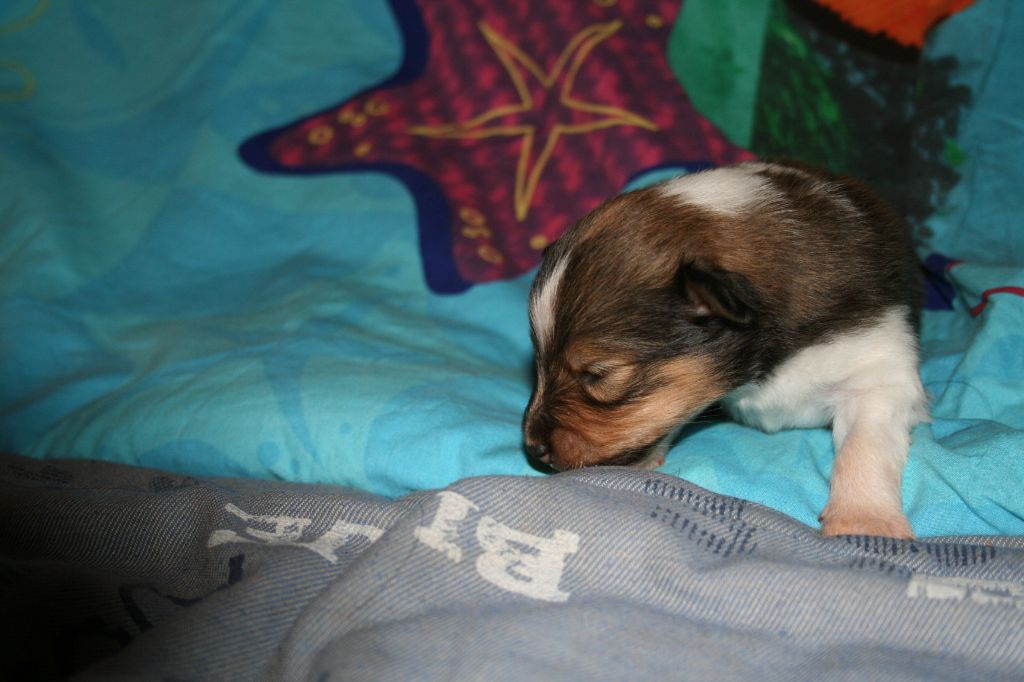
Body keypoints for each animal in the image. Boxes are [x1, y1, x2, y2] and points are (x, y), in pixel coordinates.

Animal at [524, 160, 933, 536]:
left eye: (598, 374)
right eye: (538, 361)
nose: (531, 449)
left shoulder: (879, 372)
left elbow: (863, 447)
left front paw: (864, 523)